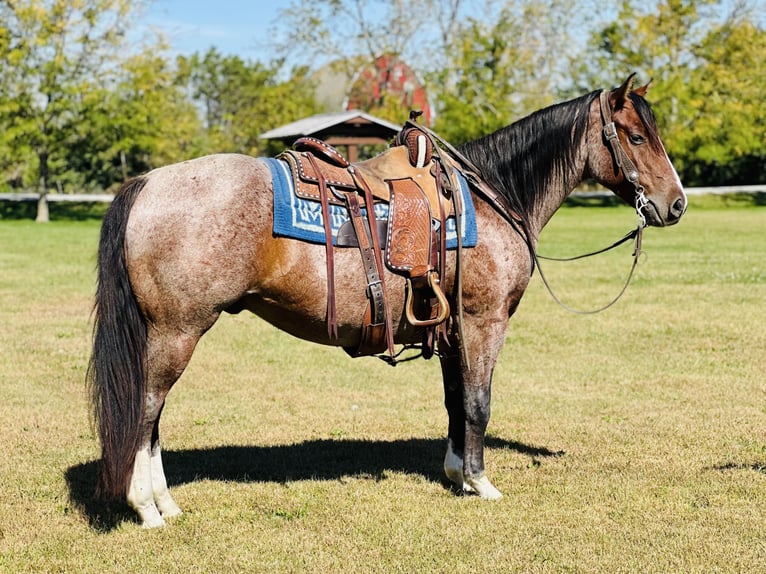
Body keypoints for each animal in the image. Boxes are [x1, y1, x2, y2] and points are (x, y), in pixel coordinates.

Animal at [87, 74, 688, 528]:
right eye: (635, 137)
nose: (676, 204)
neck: (493, 197)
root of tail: (147, 183)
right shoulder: (483, 321)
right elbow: (479, 402)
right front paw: (481, 482)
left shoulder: (451, 328)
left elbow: (454, 400)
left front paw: (455, 474)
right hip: (177, 332)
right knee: (146, 410)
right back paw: (148, 508)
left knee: (154, 419)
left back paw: (167, 503)